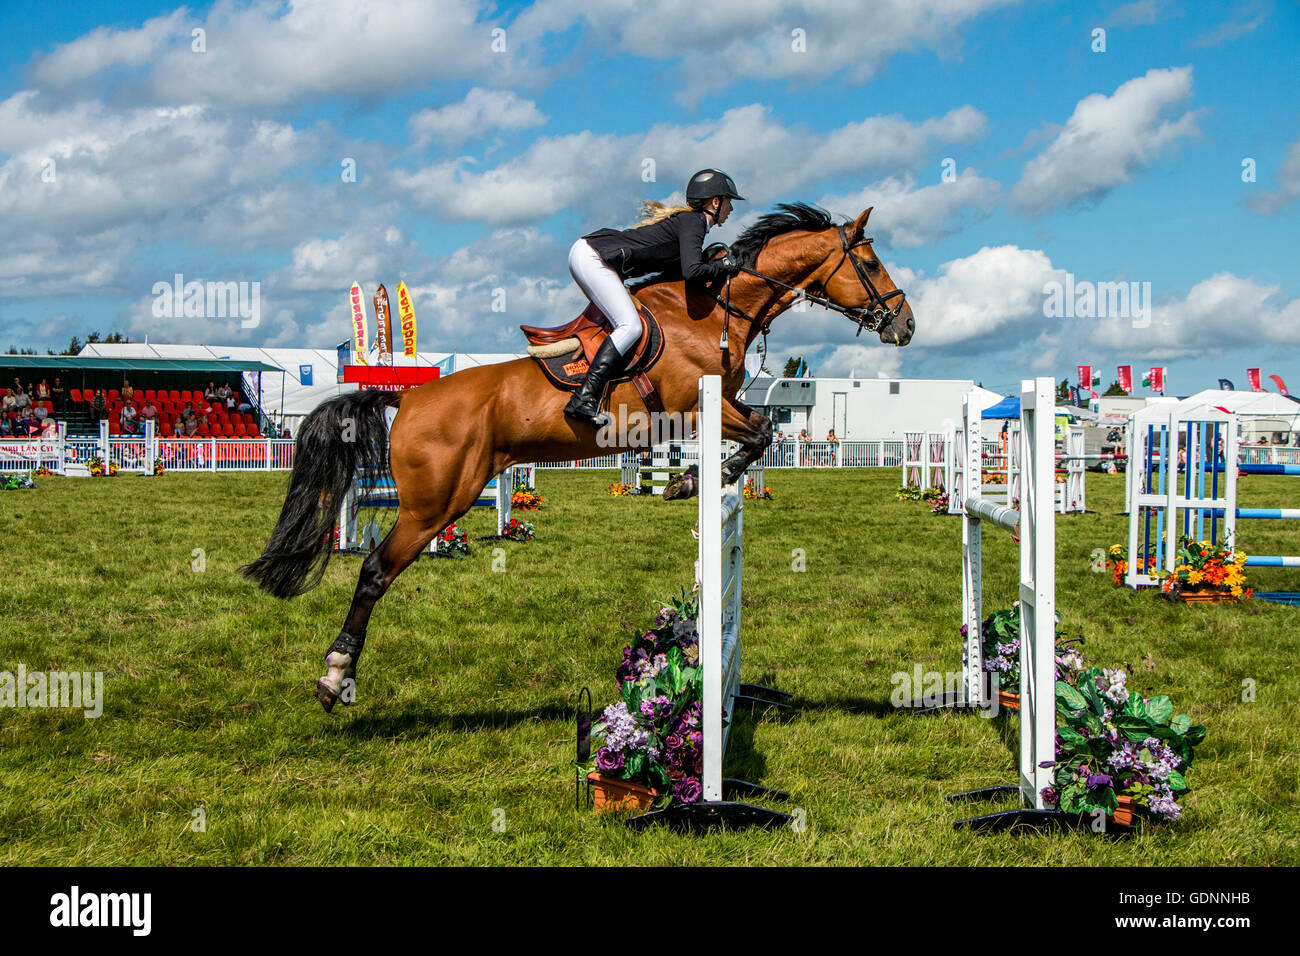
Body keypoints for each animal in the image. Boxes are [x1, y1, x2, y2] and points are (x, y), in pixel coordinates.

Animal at [244, 201, 915, 712]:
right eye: (871, 262)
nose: (905, 324)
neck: (717, 312)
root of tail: (405, 397)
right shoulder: (693, 407)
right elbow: (757, 435)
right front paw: (695, 479)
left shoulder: (716, 406)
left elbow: (760, 431)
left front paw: (690, 479)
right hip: (435, 503)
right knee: (375, 571)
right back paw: (335, 674)